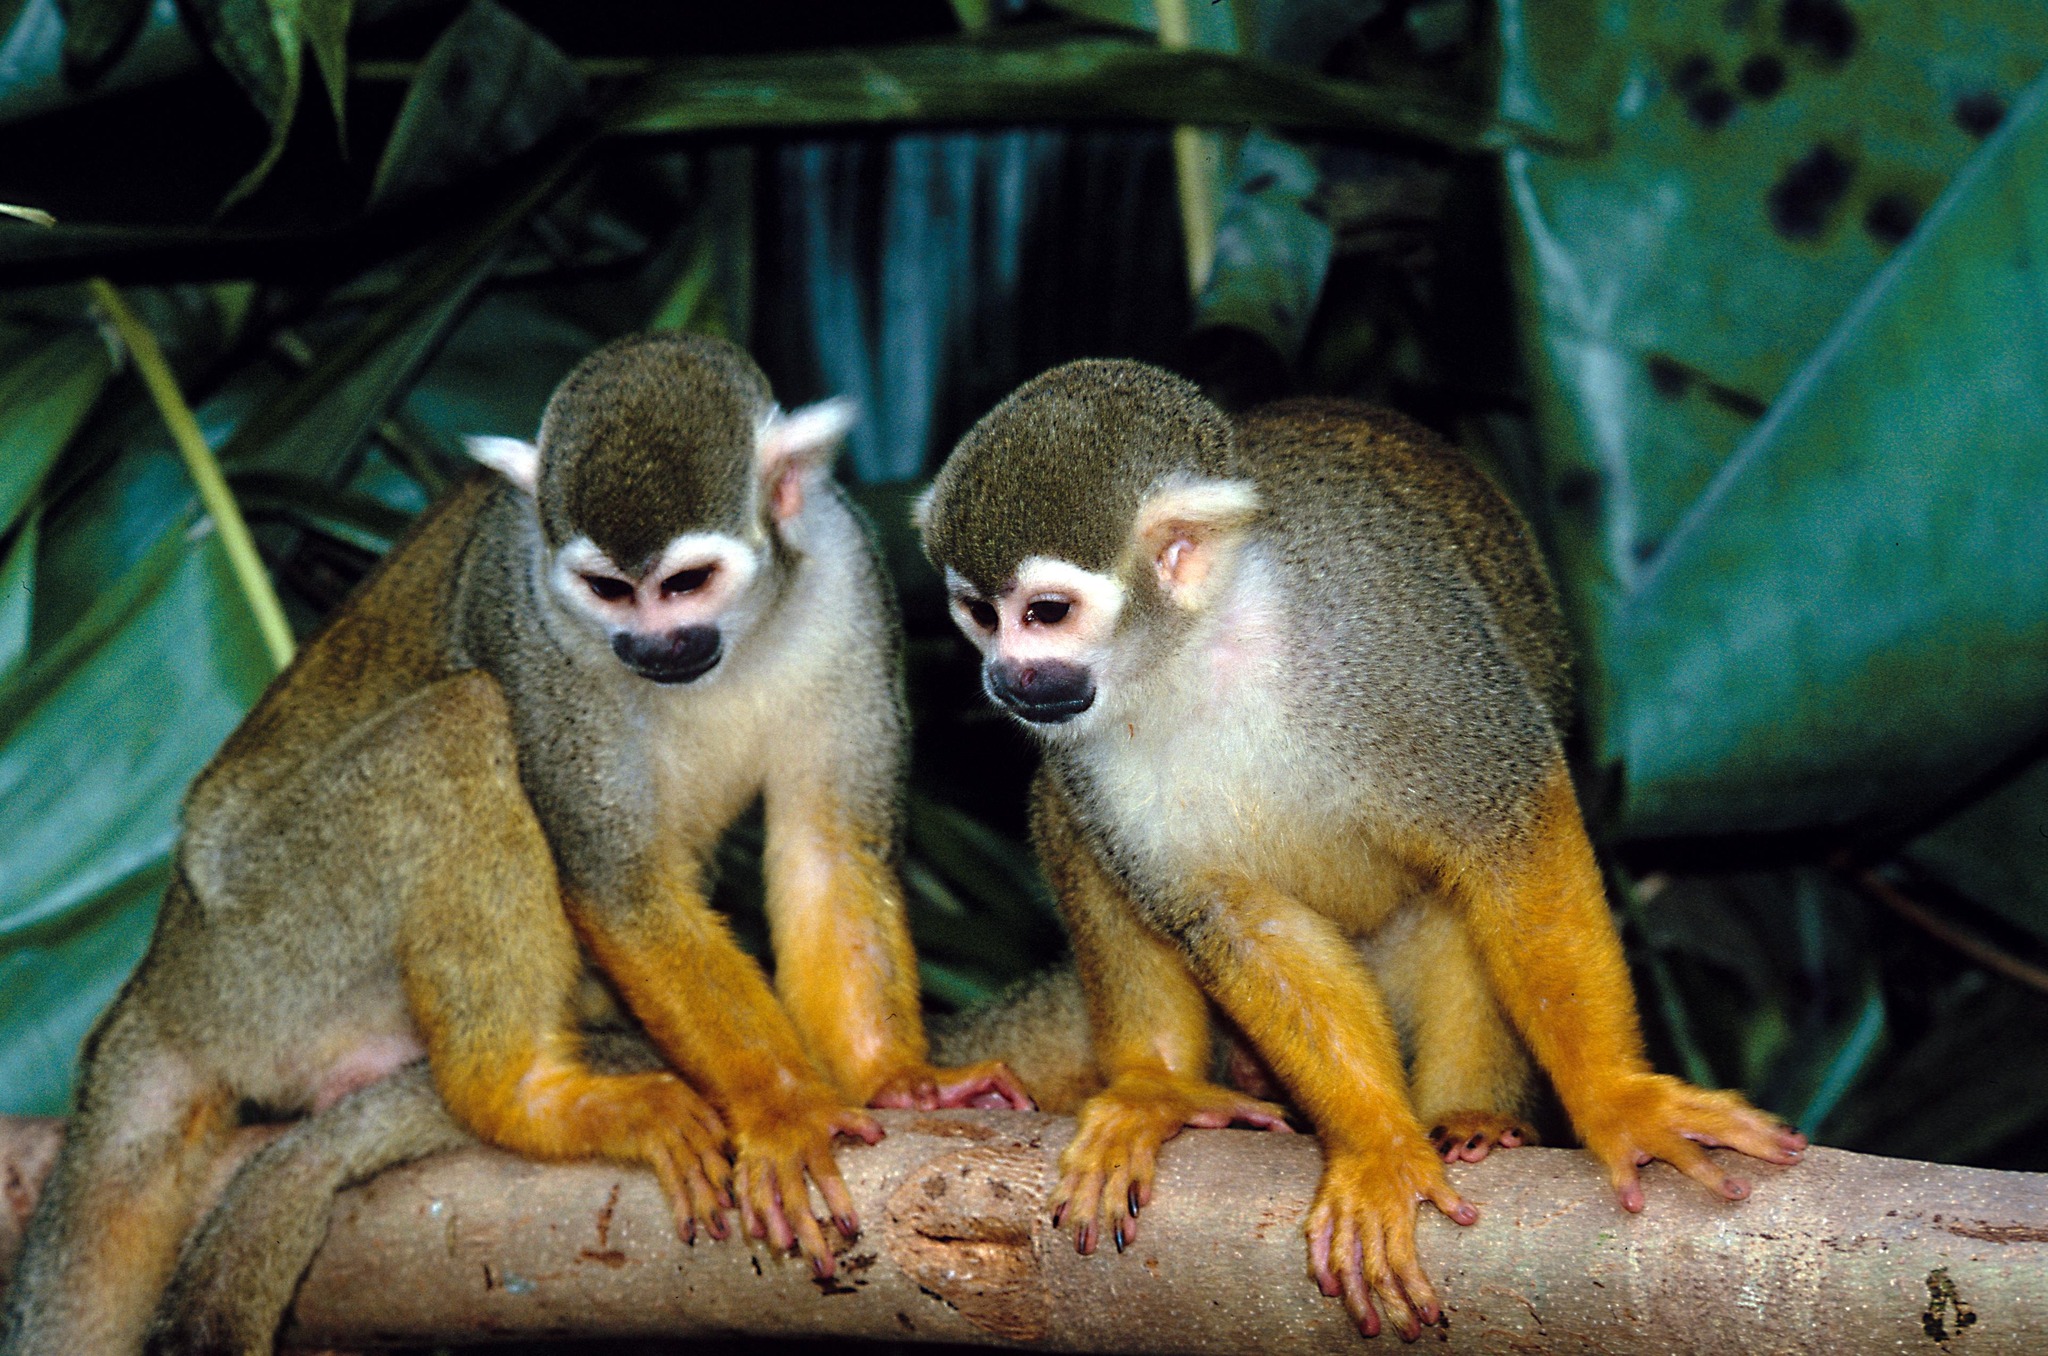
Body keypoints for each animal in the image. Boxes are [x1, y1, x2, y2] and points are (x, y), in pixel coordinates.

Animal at [0, 331, 1024, 1356]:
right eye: (607, 590)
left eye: (685, 584)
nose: (650, 648)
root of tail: (162, 980)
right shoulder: (526, 614)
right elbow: (617, 881)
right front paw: (784, 1111)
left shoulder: (848, 577)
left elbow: (829, 849)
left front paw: (897, 1079)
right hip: (270, 942)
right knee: (460, 721)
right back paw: (520, 1096)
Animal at [921, 364, 1802, 1351]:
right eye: (979, 615)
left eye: (1045, 613)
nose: (1006, 678)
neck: (1200, 645)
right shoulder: (1088, 749)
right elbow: (1233, 918)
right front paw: (1378, 1146)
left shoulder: (1393, 636)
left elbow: (1507, 825)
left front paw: (1617, 1100)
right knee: (1064, 814)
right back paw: (1158, 1084)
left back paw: (1472, 1115)